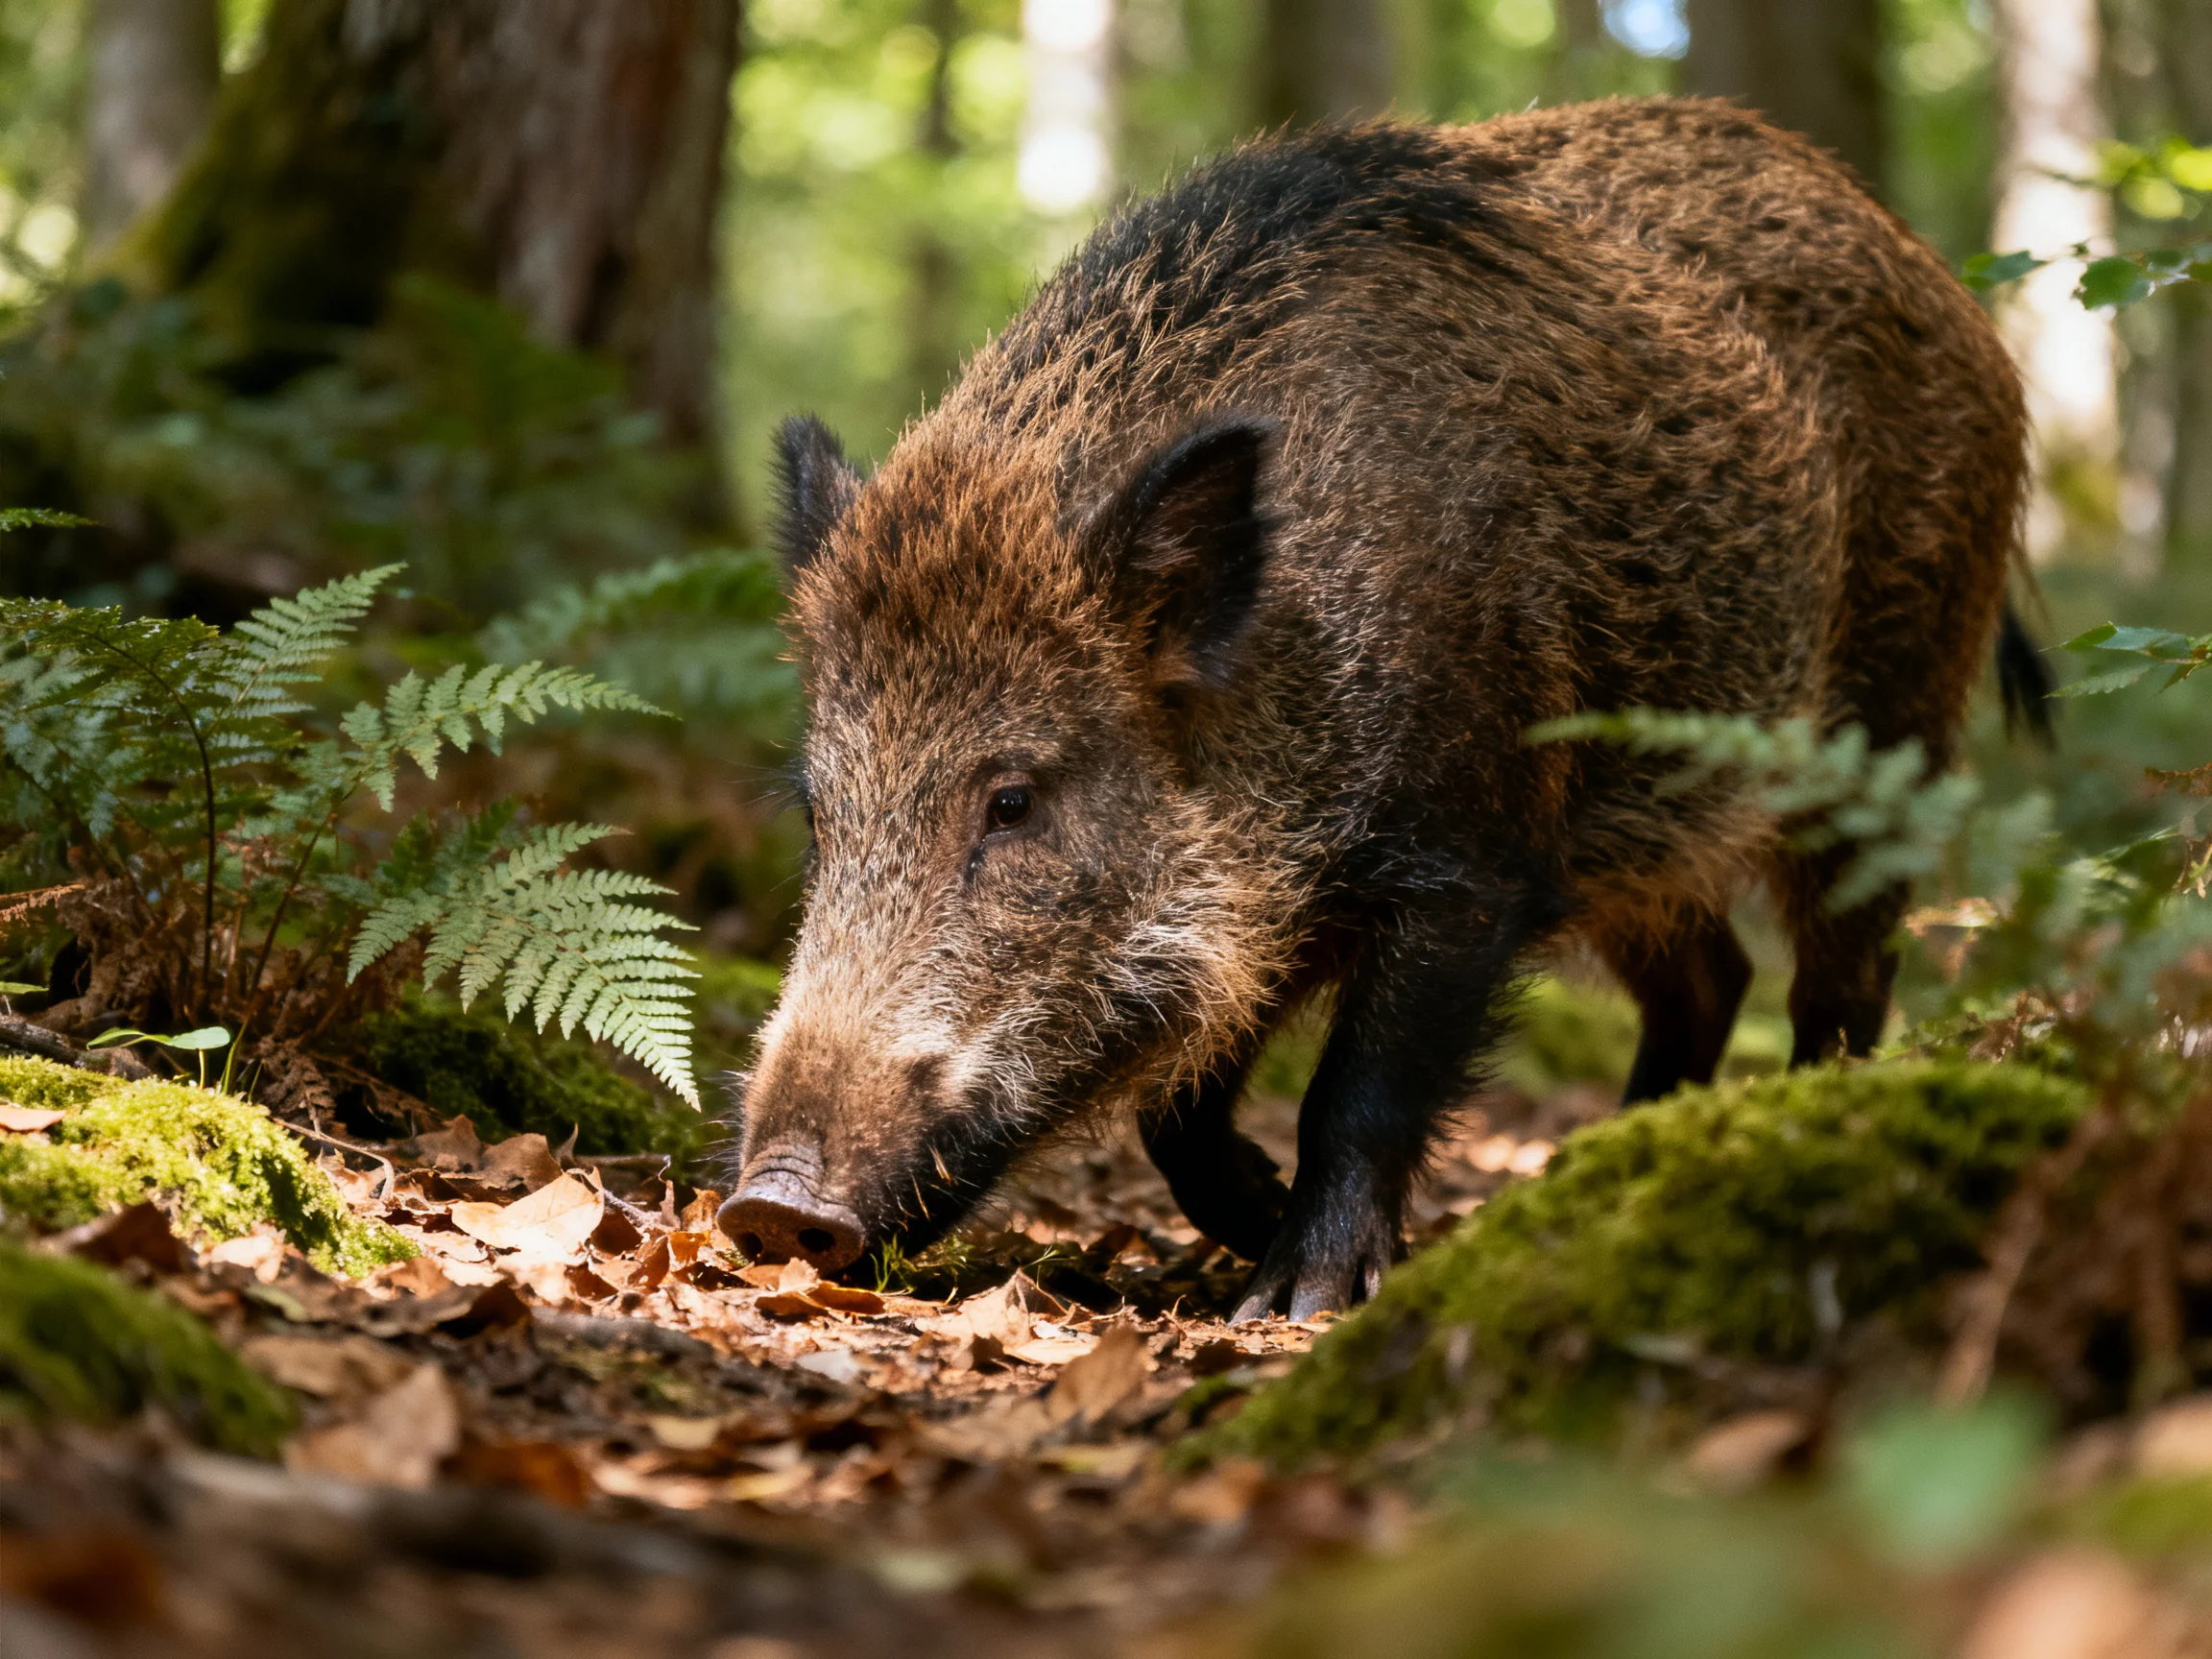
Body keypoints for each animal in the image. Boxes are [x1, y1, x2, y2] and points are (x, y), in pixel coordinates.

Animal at [718, 97, 2038, 1321]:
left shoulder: (1472, 856)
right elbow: (1180, 1113)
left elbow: (1358, 1088)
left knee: (1841, 970)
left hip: (1894, 705)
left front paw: (1295, 1301)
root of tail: (1935, 275)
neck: (1290, 675)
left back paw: (1815, 1110)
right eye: (819, 813)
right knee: (1710, 977)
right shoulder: (1280, 909)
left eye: (1013, 799)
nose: (768, 1207)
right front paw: (1257, 1228)